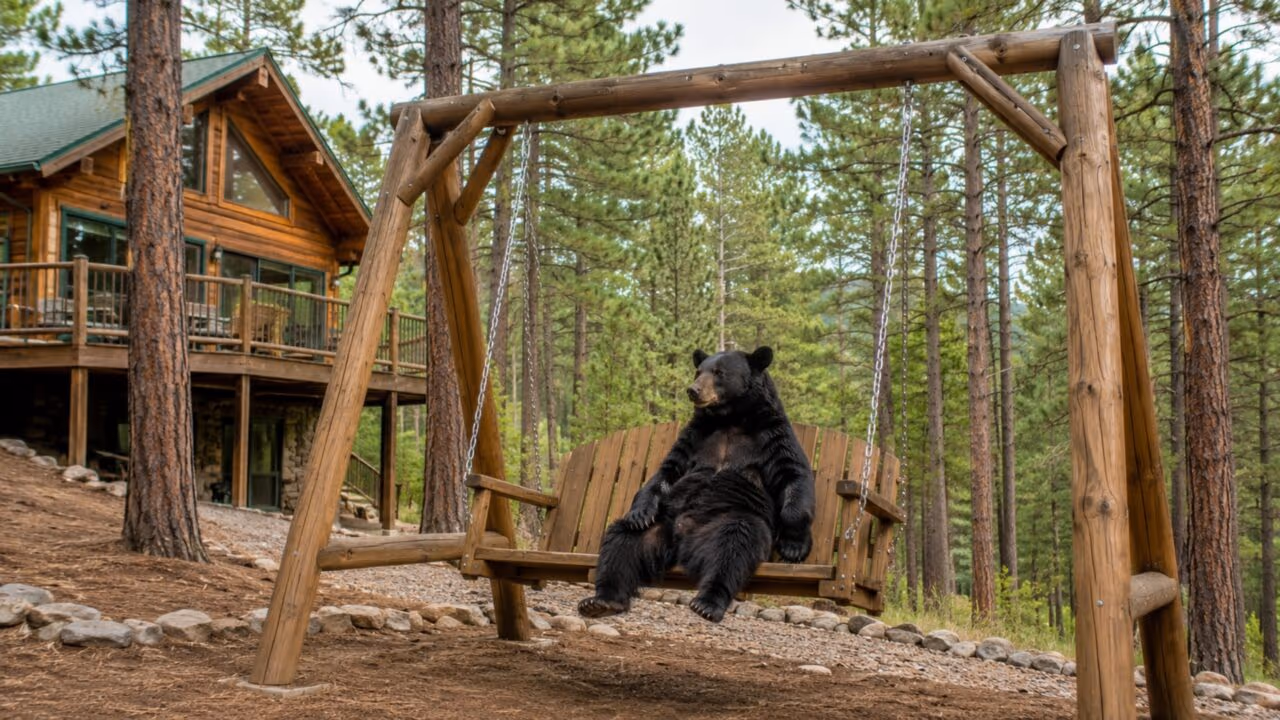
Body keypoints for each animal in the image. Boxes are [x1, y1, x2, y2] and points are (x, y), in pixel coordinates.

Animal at [577, 346, 815, 623]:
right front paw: (640, 512)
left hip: (726, 521)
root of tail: (682, 543)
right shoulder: (696, 436)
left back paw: (707, 602)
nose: (693, 390)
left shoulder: (770, 434)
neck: (730, 419)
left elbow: (792, 474)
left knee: (733, 546)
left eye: (719, 372)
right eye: (698, 371)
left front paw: (794, 546)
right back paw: (602, 600)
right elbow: (667, 471)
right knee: (622, 541)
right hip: (662, 524)